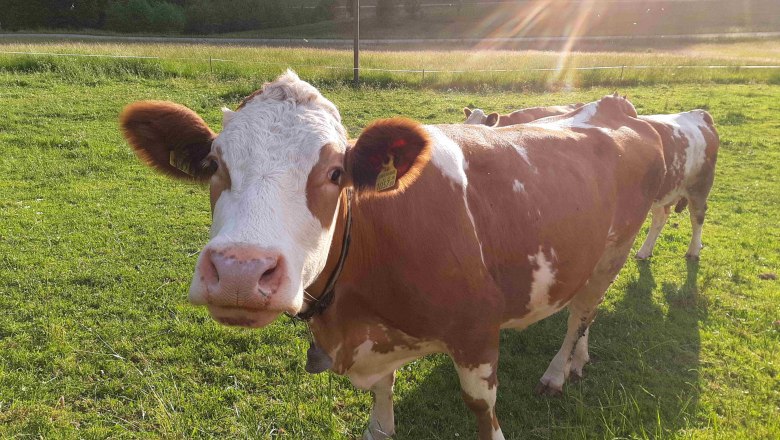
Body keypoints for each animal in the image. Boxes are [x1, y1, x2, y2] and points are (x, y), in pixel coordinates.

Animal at [120, 71, 665, 440]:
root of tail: (619, 111)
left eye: (336, 173)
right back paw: (578, 361)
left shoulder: (476, 332)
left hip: (613, 250)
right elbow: (383, 395)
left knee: (581, 312)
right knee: (585, 312)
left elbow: (481, 408)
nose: (239, 271)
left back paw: (557, 370)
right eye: (215, 163)